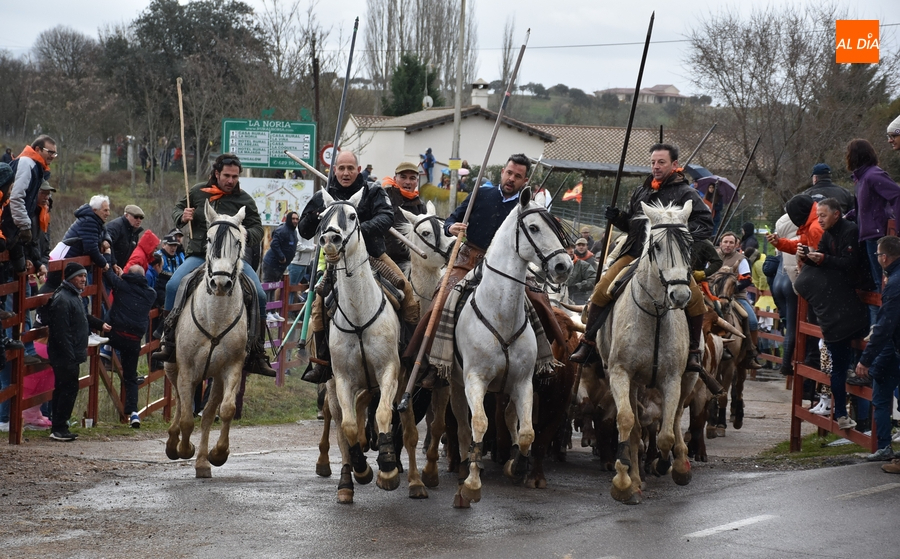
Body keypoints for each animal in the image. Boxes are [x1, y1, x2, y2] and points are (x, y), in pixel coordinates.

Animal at [165, 203, 248, 480]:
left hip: (215, 377)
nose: (220, 283)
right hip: (172, 367)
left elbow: (226, 410)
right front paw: (183, 448)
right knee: (180, 403)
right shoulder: (187, 369)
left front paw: (218, 454)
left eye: (238, 242)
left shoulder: (231, 368)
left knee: (209, 414)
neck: (215, 319)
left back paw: (202, 461)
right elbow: (186, 417)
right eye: (210, 239)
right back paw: (173, 443)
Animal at [318, 188, 428, 504]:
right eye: (321, 216)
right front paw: (361, 469)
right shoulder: (342, 379)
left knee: (407, 430)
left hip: (403, 382)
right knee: (345, 427)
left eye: (353, 215)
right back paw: (346, 483)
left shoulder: (388, 372)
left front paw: (388, 469)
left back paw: (416, 482)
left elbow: (383, 415)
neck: (358, 315)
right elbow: (348, 427)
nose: (330, 240)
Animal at [448, 186, 568, 510]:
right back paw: (462, 468)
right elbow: (479, 423)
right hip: (453, 383)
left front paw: (516, 464)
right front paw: (472, 484)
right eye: (534, 227)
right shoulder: (474, 380)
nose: (564, 266)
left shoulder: (523, 381)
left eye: (555, 227)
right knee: (461, 424)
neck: (500, 312)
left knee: (512, 419)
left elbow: (527, 431)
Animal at [600, 200, 700, 504]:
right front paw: (624, 482)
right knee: (635, 427)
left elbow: (666, 433)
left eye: (690, 244)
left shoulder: (672, 379)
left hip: (688, 379)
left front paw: (666, 464)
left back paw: (679, 465)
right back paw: (635, 477)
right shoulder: (621, 374)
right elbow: (627, 422)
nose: (680, 295)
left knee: (676, 418)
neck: (655, 314)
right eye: (656, 246)